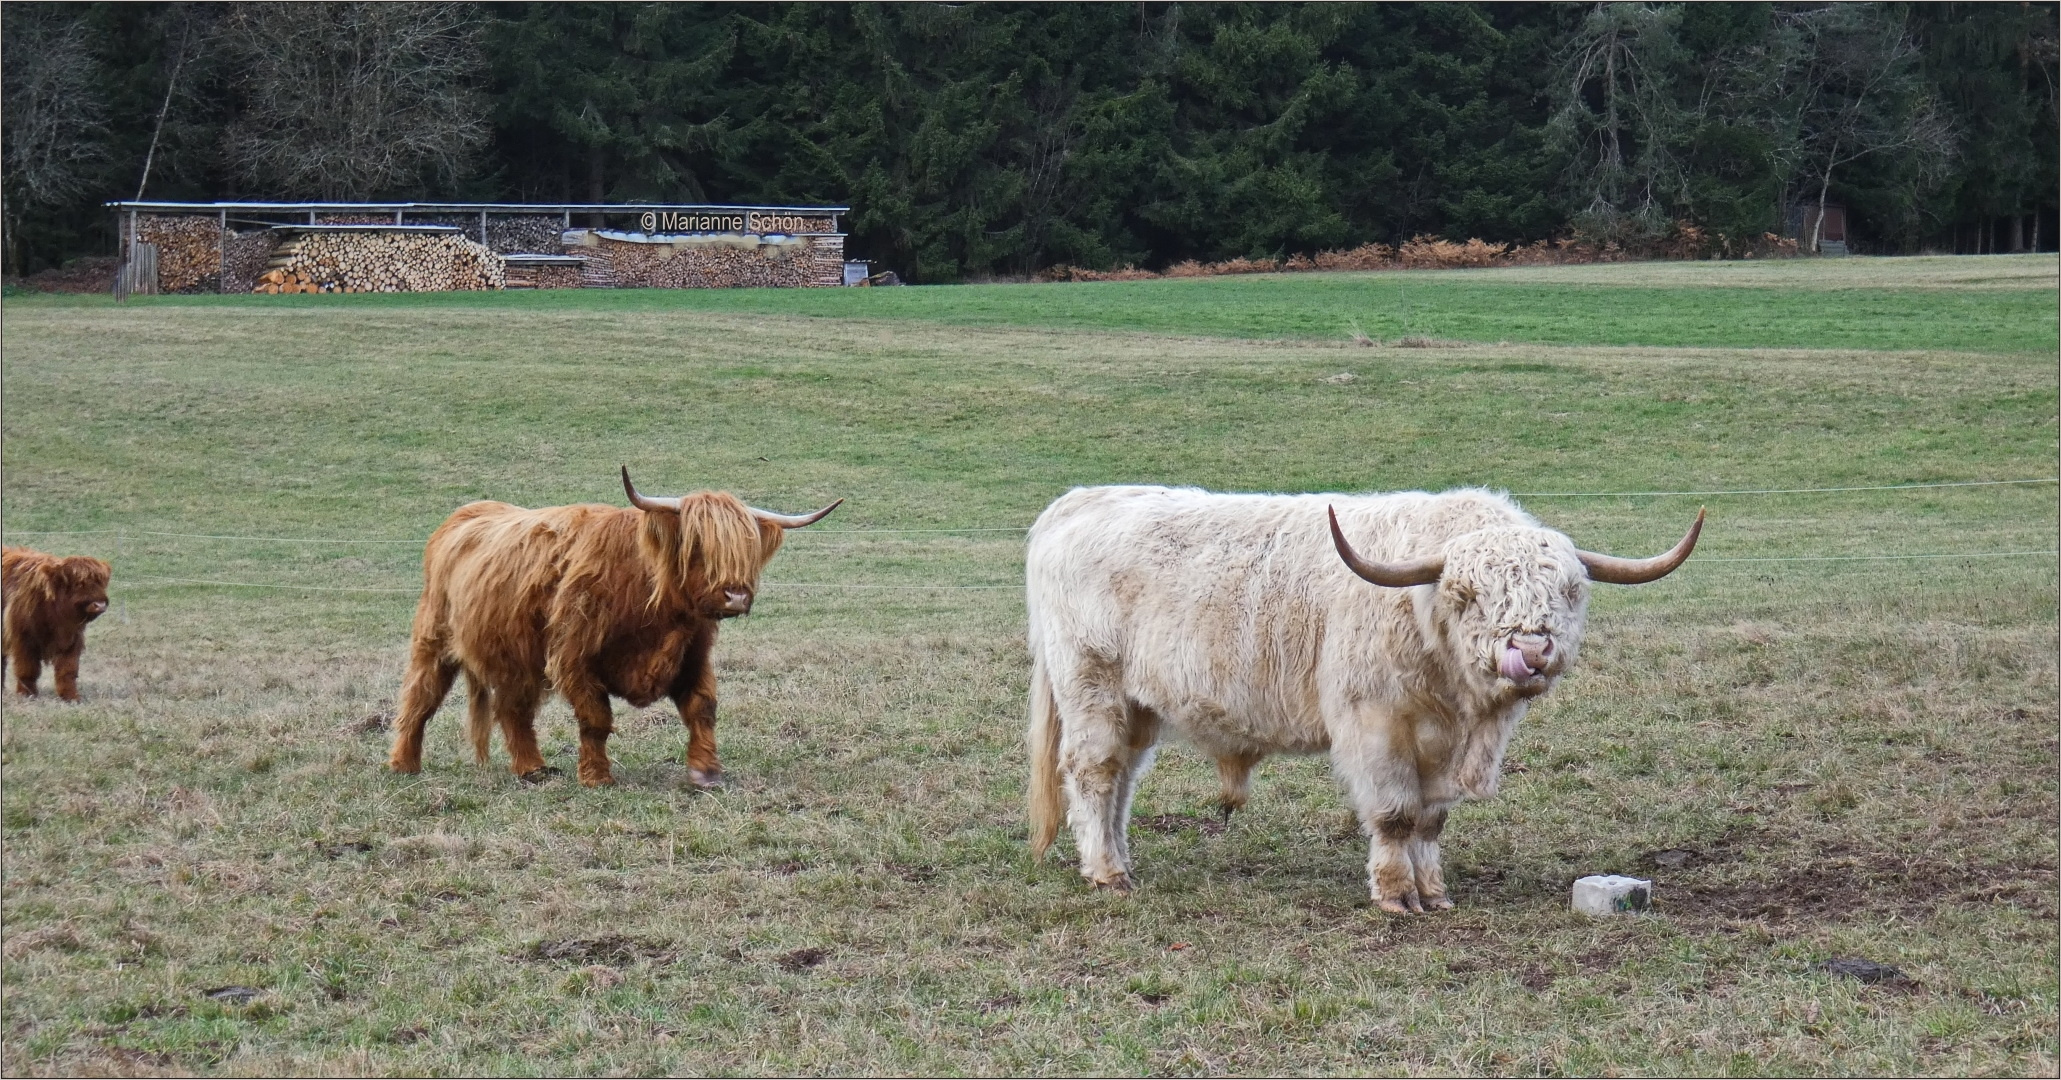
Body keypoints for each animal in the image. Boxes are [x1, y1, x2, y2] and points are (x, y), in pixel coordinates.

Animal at [2, 548, 111, 700]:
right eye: (79, 583)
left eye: (101, 583)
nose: (100, 605)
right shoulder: (23, 639)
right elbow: (27, 669)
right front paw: (27, 694)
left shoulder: (72, 638)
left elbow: (67, 670)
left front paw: (71, 696)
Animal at [387, 467, 836, 787]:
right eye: (697, 547)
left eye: (747, 549)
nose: (736, 596)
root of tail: (466, 514)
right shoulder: (573, 656)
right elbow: (596, 719)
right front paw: (597, 777)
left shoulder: (693, 655)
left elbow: (702, 709)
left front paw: (706, 772)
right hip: (434, 639)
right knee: (420, 698)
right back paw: (403, 764)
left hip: (515, 655)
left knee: (512, 710)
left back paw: (533, 769)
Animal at [1022, 484, 1698, 915]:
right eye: (1467, 595)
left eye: (1568, 591)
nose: (1531, 652)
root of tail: (1079, 501)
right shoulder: (1376, 724)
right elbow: (1396, 813)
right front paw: (1397, 895)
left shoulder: (1440, 748)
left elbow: (1430, 819)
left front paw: (1435, 892)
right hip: (1093, 688)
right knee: (1093, 773)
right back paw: (1107, 873)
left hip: (1138, 707)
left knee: (1122, 780)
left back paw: (1117, 860)